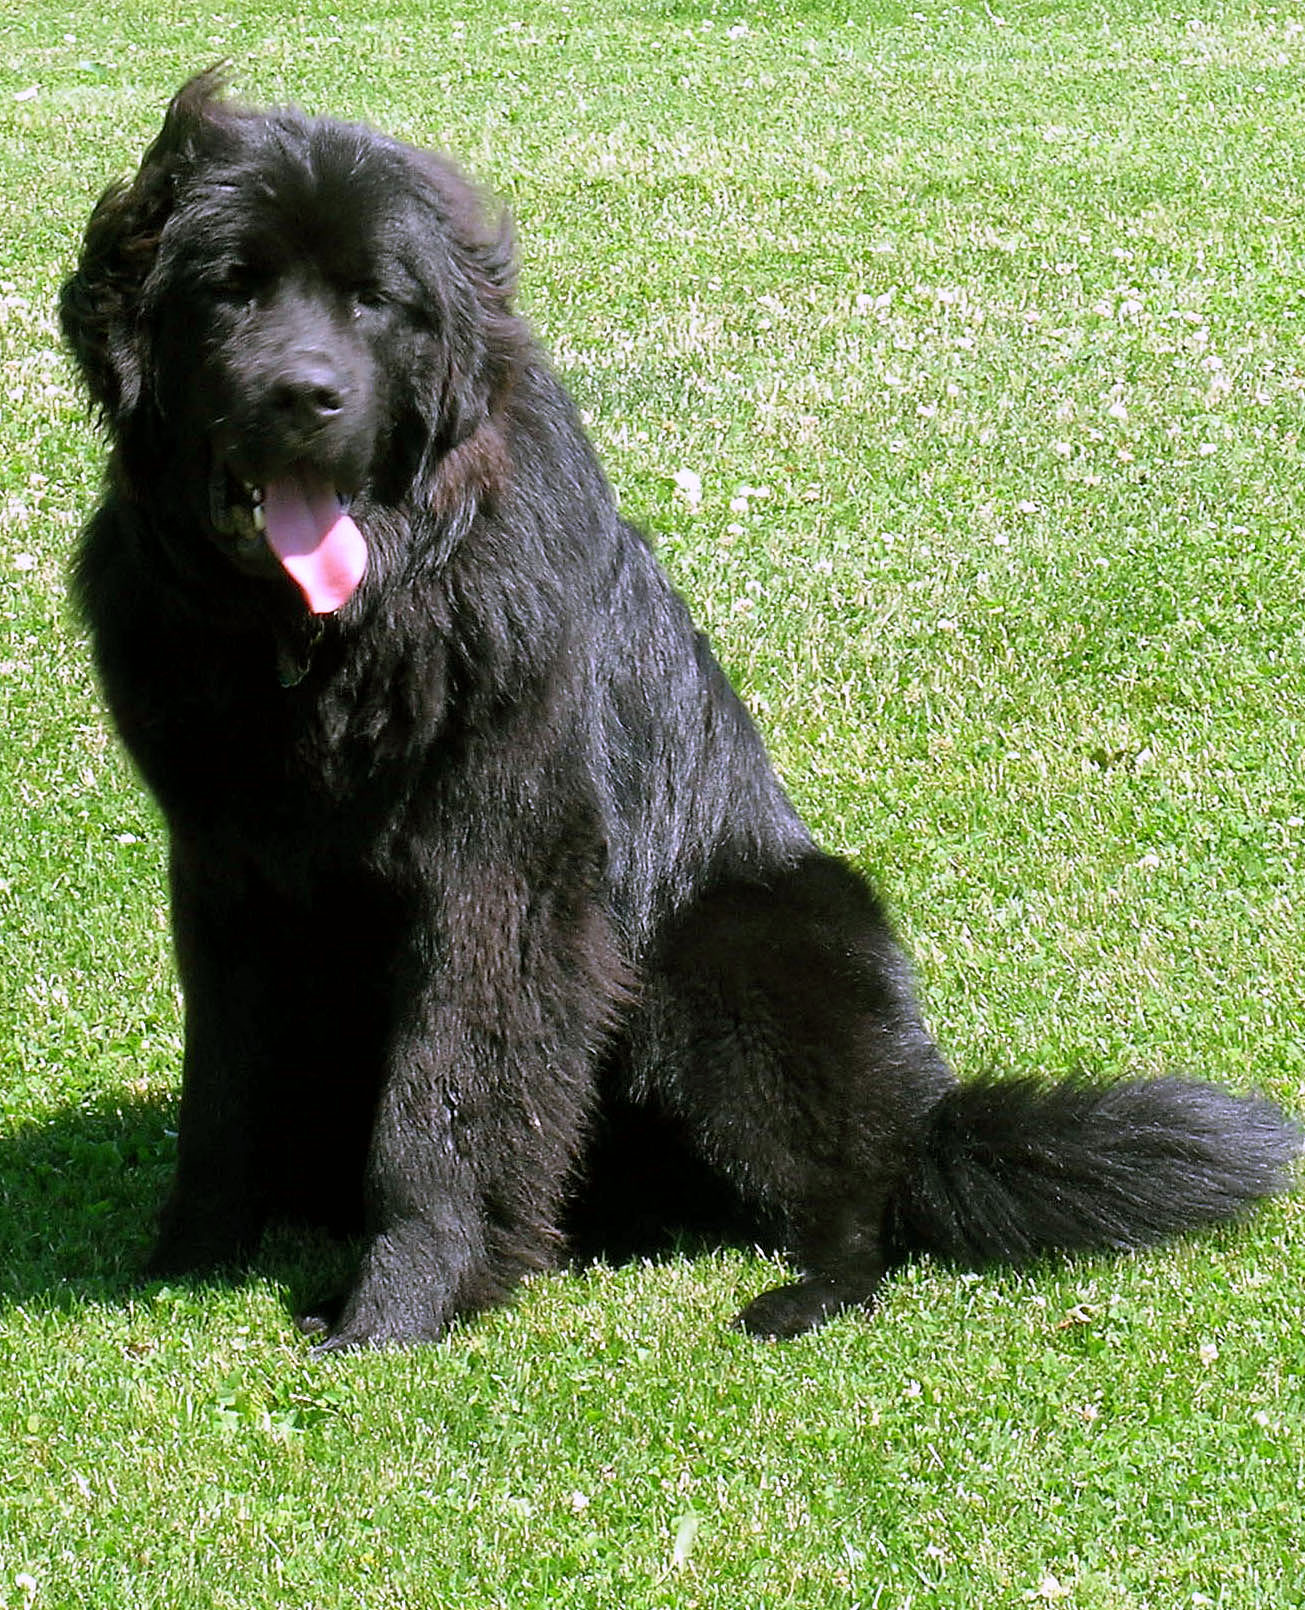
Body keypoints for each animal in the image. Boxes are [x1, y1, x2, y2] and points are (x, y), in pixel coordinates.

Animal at [61, 78, 1293, 1358]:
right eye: (233, 287)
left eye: (372, 300)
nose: (308, 395)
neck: (338, 637)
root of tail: (931, 1113)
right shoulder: (225, 870)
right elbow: (225, 1088)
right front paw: (188, 1256)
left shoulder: (498, 873)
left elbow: (442, 1100)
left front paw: (400, 1304)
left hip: (725, 949)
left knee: (865, 1199)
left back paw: (805, 1290)